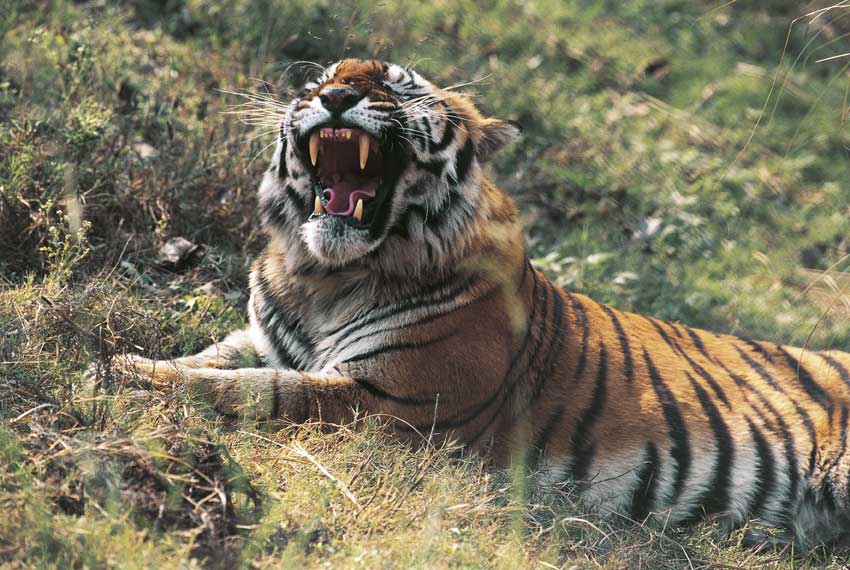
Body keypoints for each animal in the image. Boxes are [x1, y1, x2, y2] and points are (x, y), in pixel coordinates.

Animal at [100, 58, 850, 549]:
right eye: (316, 83)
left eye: (397, 86)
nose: (335, 96)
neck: (327, 275)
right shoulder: (264, 339)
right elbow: (214, 359)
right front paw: (132, 360)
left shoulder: (392, 400)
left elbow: (262, 392)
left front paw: (124, 376)